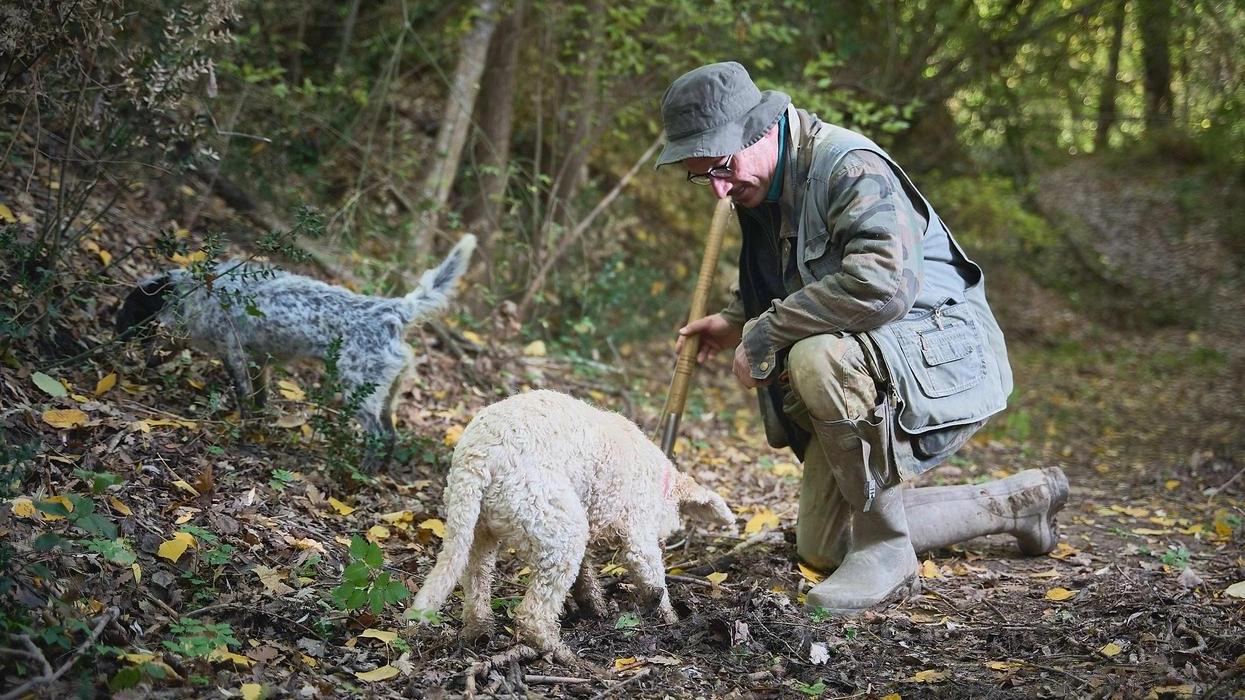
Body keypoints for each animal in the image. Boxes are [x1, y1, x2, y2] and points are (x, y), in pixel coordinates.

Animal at [117, 231, 475, 455]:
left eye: (129, 310)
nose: (114, 335)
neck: (199, 291)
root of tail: (392, 309)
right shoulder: (258, 361)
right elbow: (258, 398)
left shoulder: (233, 352)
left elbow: (243, 397)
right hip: (386, 394)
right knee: (391, 436)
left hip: (359, 392)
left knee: (379, 437)